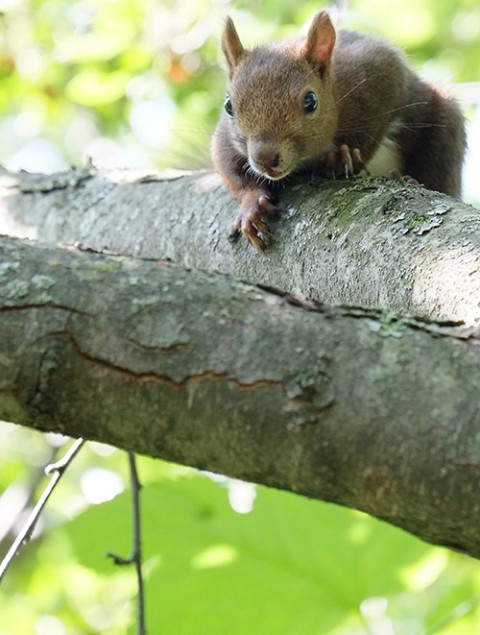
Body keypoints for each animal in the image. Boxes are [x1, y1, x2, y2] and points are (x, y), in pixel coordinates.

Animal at [210, 11, 464, 251]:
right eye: (229, 106)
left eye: (311, 101)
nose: (265, 158)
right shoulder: (225, 138)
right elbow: (228, 166)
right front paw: (251, 205)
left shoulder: (377, 72)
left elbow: (371, 131)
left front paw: (343, 156)